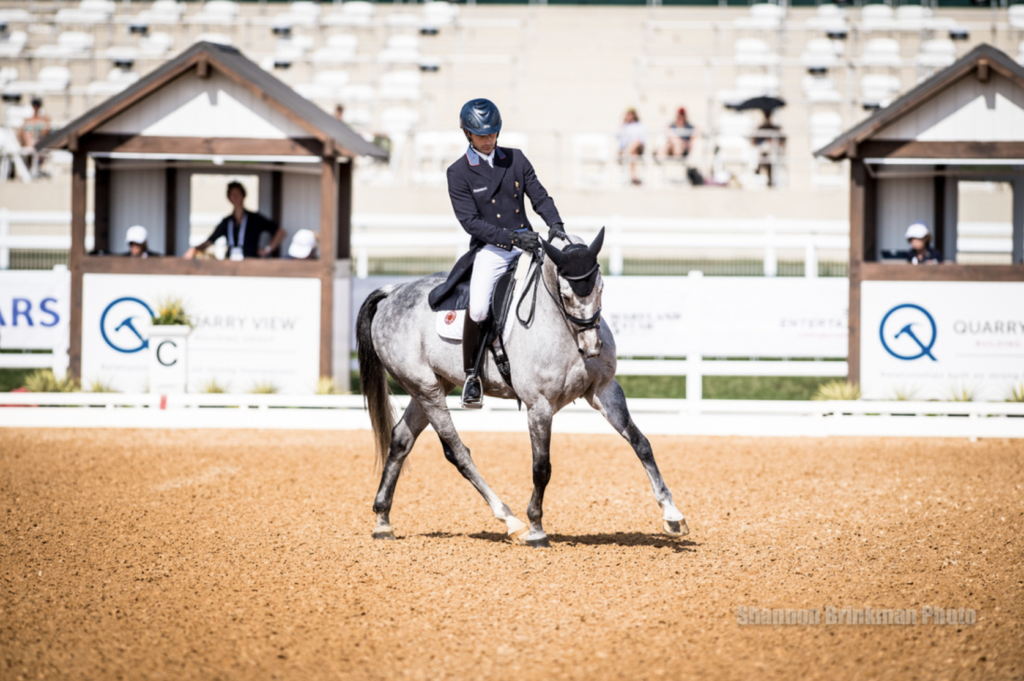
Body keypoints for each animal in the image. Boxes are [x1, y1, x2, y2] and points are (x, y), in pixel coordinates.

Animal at [358, 229, 688, 548]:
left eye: (601, 287)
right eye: (565, 295)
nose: (592, 347)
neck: (562, 326)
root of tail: (392, 291)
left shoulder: (605, 390)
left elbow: (641, 443)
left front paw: (673, 515)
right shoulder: (539, 406)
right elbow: (541, 467)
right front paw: (536, 529)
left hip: (432, 386)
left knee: (401, 440)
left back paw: (382, 521)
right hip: (426, 389)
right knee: (457, 451)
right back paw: (511, 521)